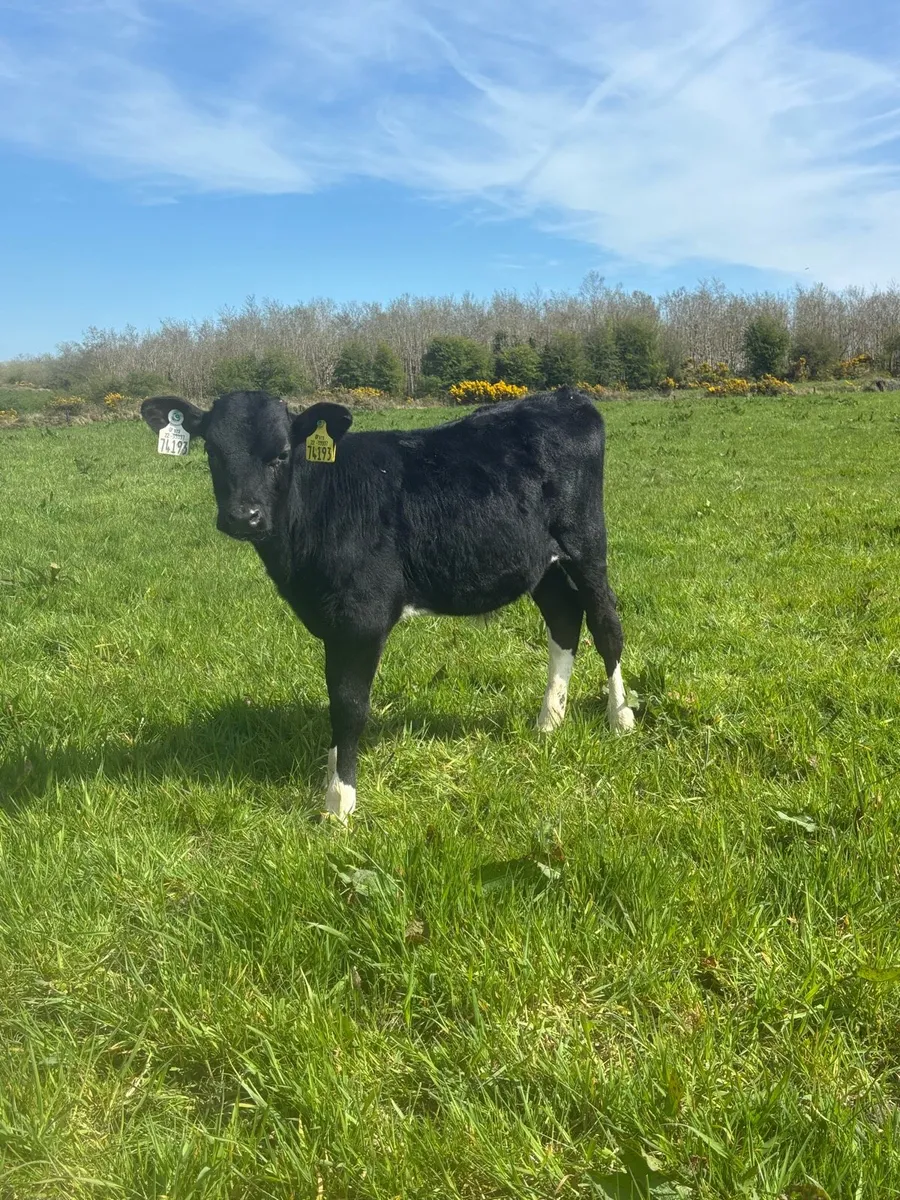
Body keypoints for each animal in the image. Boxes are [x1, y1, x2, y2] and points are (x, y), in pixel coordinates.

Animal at [140, 387, 634, 821]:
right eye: (211, 451)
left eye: (281, 454)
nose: (244, 517)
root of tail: (563, 396)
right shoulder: (333, 623)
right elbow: (336, 699)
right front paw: (333, 772)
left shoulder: (362, 618)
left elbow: (349, 705)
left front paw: (339, 802)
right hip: (541, 565)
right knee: (564, 621)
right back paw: (548, 721)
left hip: (586, 544)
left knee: (606, 625)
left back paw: (621, 718)